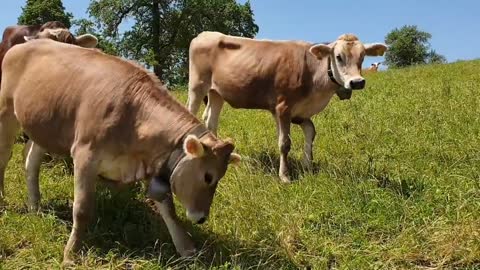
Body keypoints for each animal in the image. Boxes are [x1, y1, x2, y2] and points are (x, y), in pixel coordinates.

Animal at [0, 40, 240, 266]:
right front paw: (70, 254)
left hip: (44, 126)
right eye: (208, 177)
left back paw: (35, 207)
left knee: (31, 161)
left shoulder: (155, 164)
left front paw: (187, 249)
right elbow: (82, 210)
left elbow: (169, 210)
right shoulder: (85, 155)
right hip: (6, 113)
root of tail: (24, 44)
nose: (201, 218)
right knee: (4, 158)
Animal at [188, 32, 386, 184]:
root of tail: (204, 34)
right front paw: (285, 176)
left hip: (217, 93)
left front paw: (308, 165)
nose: (357, 82)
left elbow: (311, 132)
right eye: (339, 57)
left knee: (210, 121)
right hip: (197, 86)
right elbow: (285, 143)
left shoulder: (299, 113)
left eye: (362, 57)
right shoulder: (283, 107)